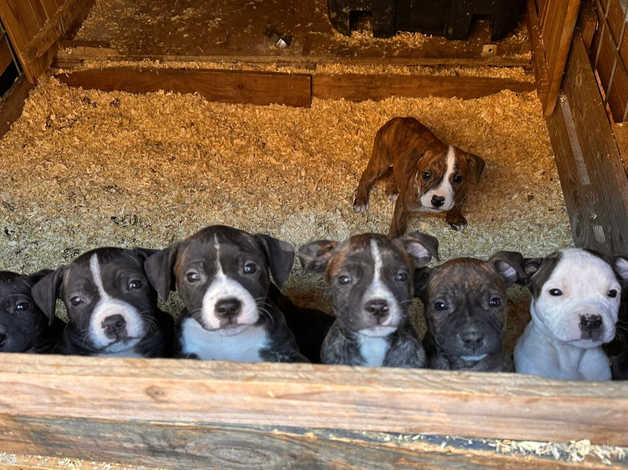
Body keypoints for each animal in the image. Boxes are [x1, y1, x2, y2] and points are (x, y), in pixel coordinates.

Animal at [354, 116, 486, 237]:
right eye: (426, 175)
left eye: (458, 179)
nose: (437, 200)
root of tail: (398, 119)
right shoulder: (403, 205)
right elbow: (397, 226)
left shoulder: (462, 192)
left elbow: (457, 205)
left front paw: (455, 218)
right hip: (381, 160)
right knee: (366, 176)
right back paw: (360, 201)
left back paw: (392, 189)